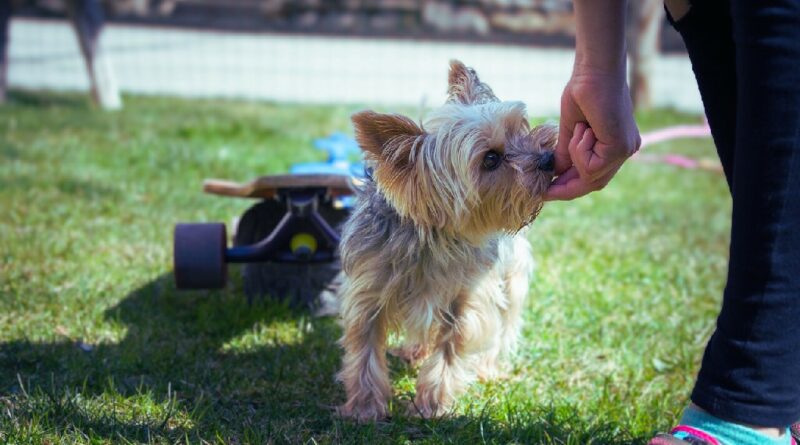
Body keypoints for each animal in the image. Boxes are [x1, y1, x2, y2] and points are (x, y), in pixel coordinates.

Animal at [338, 59, 556, 420]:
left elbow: (452, 348)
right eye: (490, 159)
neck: (434, 238)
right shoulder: (368, 293)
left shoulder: (467, 298)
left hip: (512, 276)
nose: (549, 158)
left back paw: (487, 369)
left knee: (504, 323)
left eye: (519, 129)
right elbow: (365, 351)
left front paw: (432, 405)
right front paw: (364, 408)